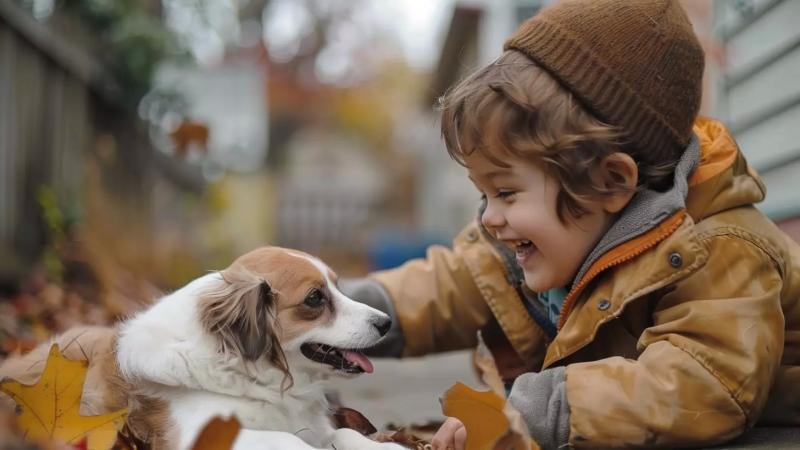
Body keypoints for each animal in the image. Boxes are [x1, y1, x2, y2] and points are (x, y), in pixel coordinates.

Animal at [0, 248, 400, 448]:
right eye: (315, 298)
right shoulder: (205, 432)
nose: (386, 322)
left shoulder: (319, 428)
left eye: (338, 286)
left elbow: (346, 434)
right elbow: (291, 441)